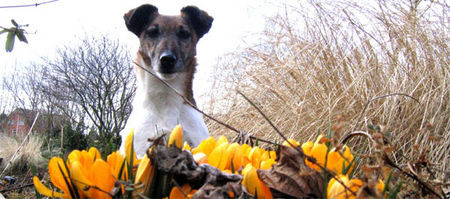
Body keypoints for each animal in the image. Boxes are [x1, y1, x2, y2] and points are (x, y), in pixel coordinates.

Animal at [118, 3, 212, 158]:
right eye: (152, 32)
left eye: (184, 34)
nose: (167, 59)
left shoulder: (196, 140)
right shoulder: (140, 147)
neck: (165, 96)